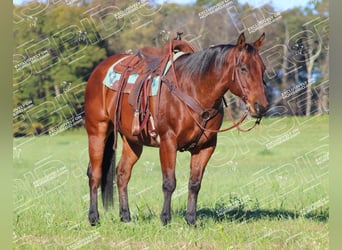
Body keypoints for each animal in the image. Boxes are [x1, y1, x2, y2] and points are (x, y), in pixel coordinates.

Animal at [84, 32, 268, 226]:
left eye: (263, 68)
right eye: (243, 68)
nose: (261, 106)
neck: (193, 88)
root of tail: (100, 69)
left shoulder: (206, 146)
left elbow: (195, 183)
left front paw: (191, 219)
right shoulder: (168, 142)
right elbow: (169, 182)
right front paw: (165, 218)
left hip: (132, 141)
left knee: (122, 173)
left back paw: (125, 217)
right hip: (97, 131)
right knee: (95, 173)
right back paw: (94, 217)